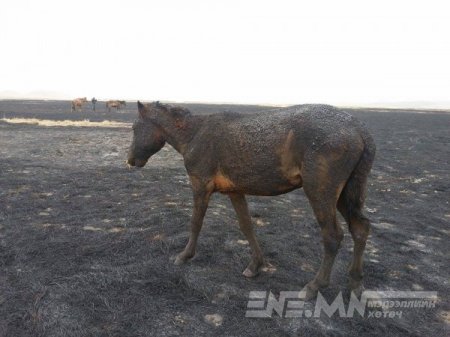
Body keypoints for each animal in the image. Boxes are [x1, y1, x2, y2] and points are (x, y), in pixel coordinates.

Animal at [126, 100, 376, 300]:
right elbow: (246, 226)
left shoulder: (200, 185)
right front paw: (255, 265)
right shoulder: (235, 191)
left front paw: (184, 255)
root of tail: (359, 129)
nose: (130, 160)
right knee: (360, 228)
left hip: (321, 193)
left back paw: (314, 286)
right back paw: (355, 283)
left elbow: (195, 223)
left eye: (135, 127)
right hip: (345, 195)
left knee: (333, 236)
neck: (195, 134)